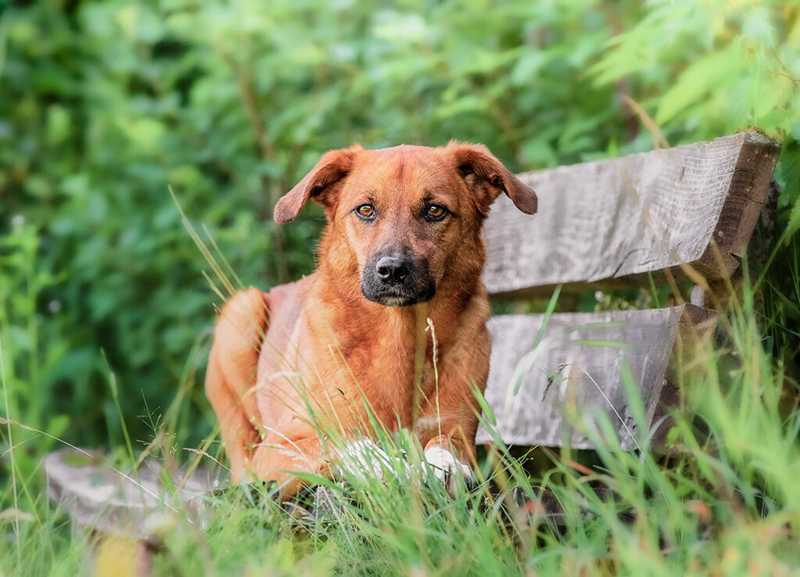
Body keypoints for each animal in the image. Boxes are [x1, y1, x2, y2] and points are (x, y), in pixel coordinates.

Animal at [205, 141, 536, 496]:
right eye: (365, 210)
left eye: (435, 210)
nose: (392, 270)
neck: (399, 336)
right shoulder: (279, 447)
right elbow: (345, 444)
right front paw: (392, 466)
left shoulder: (457, 425)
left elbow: (445, 443)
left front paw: (441, 464)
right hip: (242, 311)